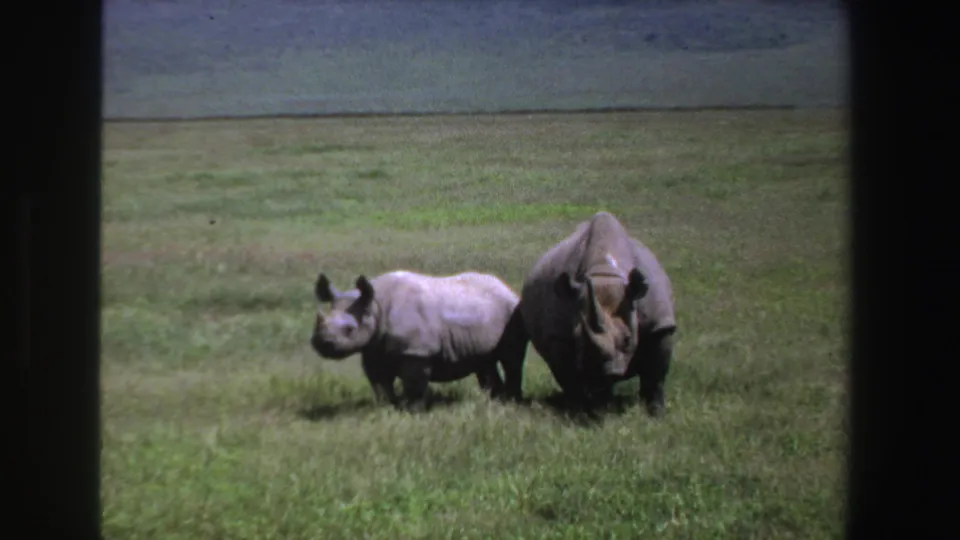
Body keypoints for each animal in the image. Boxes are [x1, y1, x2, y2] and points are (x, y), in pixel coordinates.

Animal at [310, 270, 527, 412]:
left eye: (349, 329)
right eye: (319, 322)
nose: (322, 343)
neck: (375, 306)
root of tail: (507, 287)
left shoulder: (416, 351)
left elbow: (414, 385)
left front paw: (413, 412)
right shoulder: (373, 348)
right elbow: (380, 383)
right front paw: (387, 409)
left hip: (511, 310)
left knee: (511, 359)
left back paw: (512, 402)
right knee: (484, 362)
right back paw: (495, 402)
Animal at [517, 211, 677, 418]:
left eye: (628, 338)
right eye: (578, 339)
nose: (603, 371)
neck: (604, 272)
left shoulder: (660, 325)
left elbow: (655, 377)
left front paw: (656, 414)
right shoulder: (558, 336)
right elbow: (569, 379)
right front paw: (581, 412)